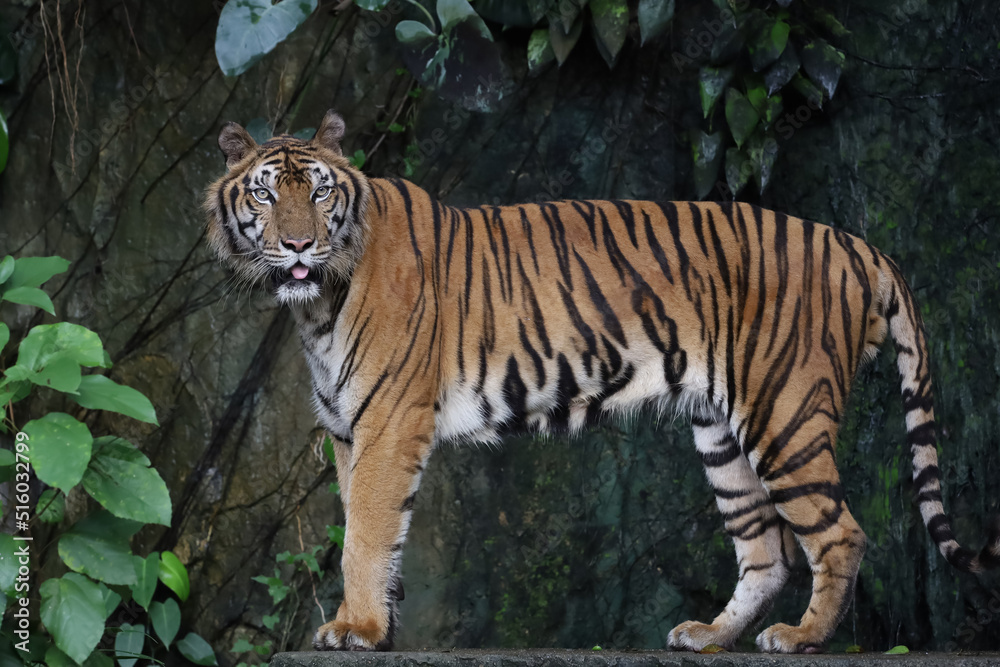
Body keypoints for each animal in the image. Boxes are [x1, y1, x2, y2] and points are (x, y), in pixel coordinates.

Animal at [204, 109, 1000, 654]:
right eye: (267, 196)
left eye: (320, 194)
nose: (299, 244)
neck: (315, 305)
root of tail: (851, 241)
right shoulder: (348, 429)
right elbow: (370, 531)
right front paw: (377, 625)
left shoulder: (387, 422)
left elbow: (364, 533)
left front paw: (358, 628)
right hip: (723, 432)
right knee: (765, 551)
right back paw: (710, 636)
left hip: (786, 414)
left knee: (839, 534)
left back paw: (799, 639)